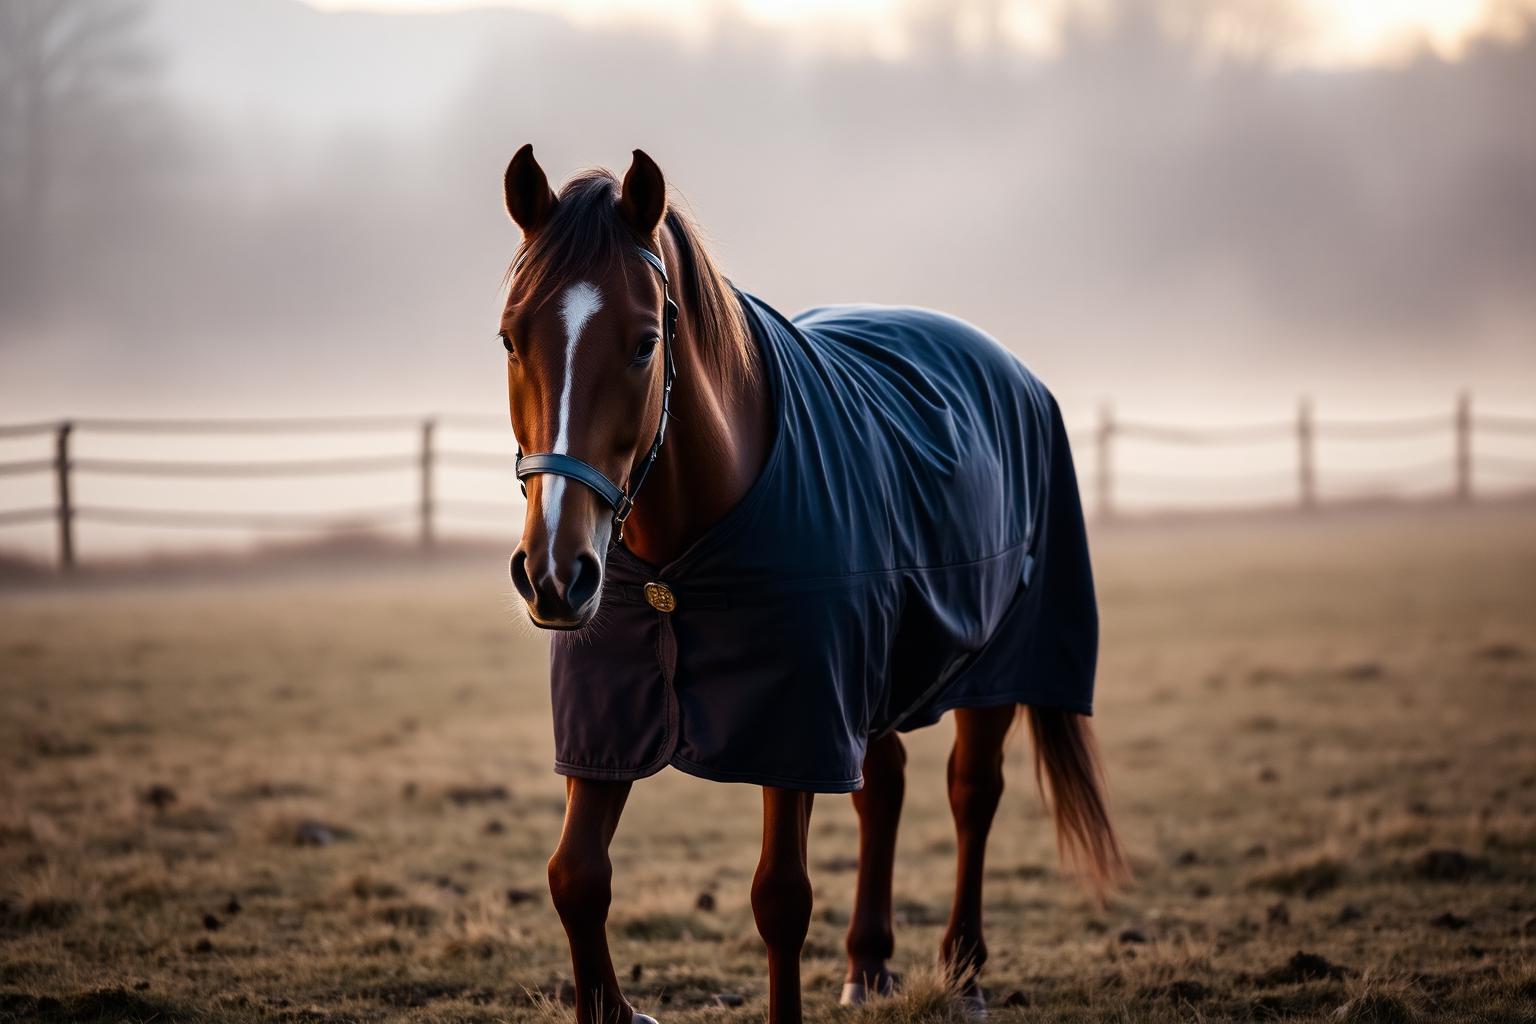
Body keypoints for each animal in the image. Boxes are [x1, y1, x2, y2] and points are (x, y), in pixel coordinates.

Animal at [497, 145, 1123, 1024]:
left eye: (644, 344)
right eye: (511, 338)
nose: (555, 572)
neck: (677, 564)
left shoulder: (795, 723)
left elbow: (780, 899)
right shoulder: (608, 719)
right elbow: (575, 877)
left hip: (993, 667)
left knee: (973, 794)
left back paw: (963, 970)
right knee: (883, 789)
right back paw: (868, 964)